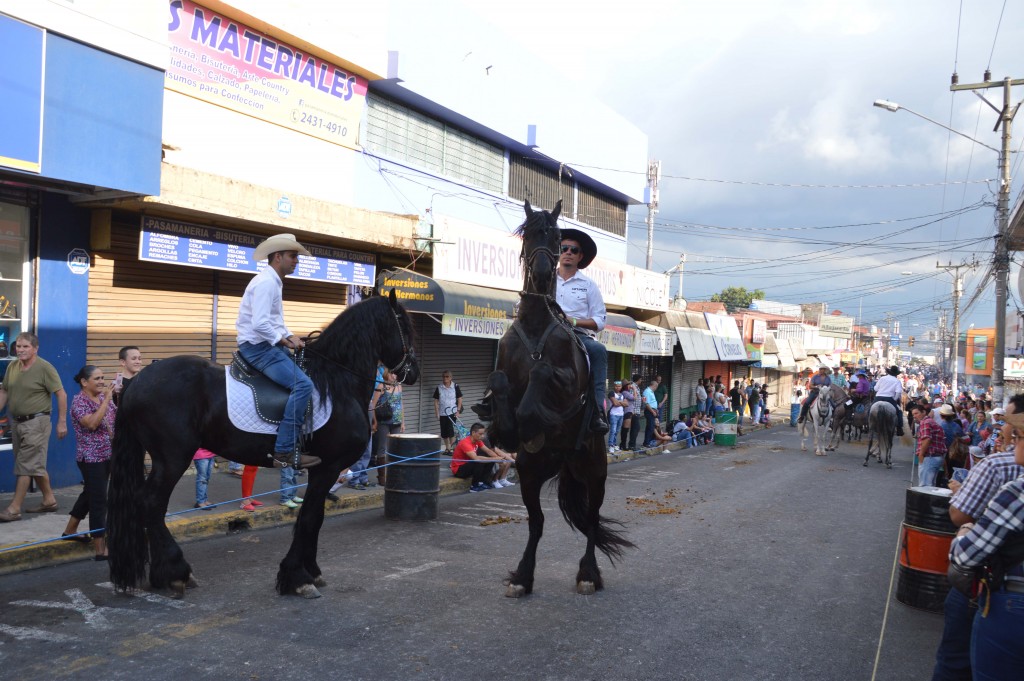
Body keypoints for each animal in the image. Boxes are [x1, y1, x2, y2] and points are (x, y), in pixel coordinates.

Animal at [109, 288, 419, 598]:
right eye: (404, 326)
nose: (413, 372)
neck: (337, 384)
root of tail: (134, 383)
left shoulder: (322, 469)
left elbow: (316, 516)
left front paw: (311, 571)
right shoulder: (328, 467)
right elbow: (309, 517)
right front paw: (297, 576)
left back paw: (162, 574)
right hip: (173, 457)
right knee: (151, 503)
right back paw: (175, 572)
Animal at [479, 200, 630, 593]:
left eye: (560, 238)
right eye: (530, 233)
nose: (546, 272)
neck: (536, 323)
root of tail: (564, 459)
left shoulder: (567, 385)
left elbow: (542, 373)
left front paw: (527, 420)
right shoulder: (504, 372)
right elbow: (500, 380)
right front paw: (504, 429)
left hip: (594, 472)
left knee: (591, 520)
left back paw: (588, 575)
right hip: (530, 474)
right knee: (537, 523)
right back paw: (523, 576)